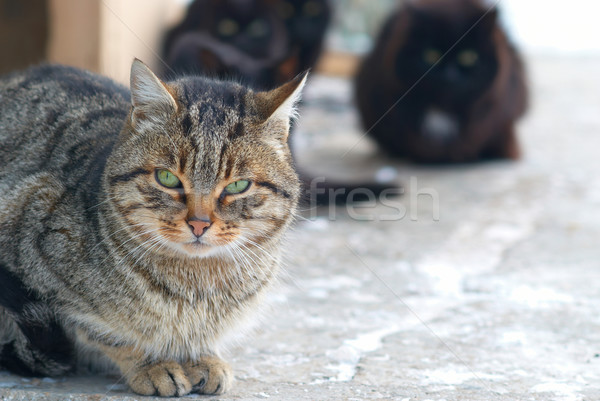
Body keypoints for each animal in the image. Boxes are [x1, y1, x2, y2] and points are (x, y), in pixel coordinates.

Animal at [0, 58, 308, 394]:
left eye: (238, 185)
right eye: (167, 178)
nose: (199, 223)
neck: (196, 286)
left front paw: (203, 356)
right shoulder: (37, 244)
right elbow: (107, 332)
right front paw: (153, 364)